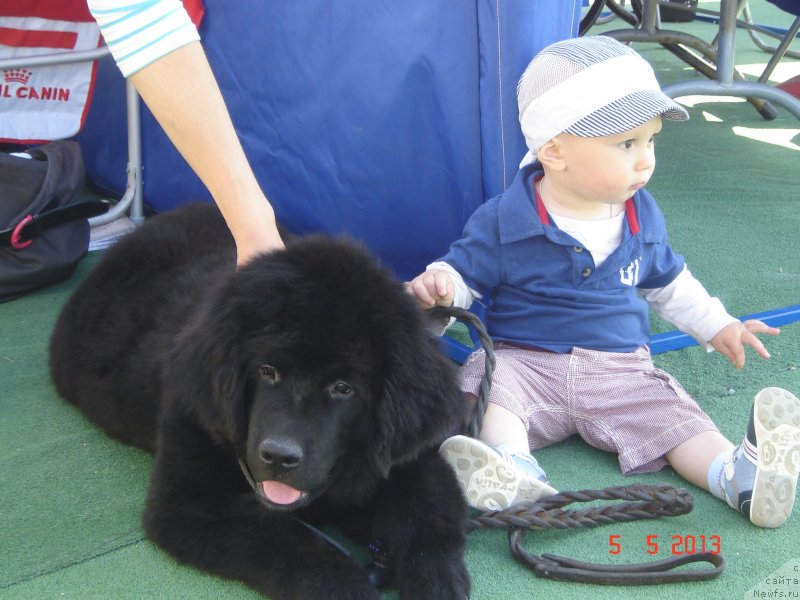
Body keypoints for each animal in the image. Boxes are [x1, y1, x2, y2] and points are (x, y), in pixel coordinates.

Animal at [48, 204, 468, 596]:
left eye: (343, 388)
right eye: (267, 371)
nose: (280, 456)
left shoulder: (406, 457)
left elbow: (428, 506)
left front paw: (438, 579)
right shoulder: (188, 504)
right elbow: (296, 545)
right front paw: (350, 587)